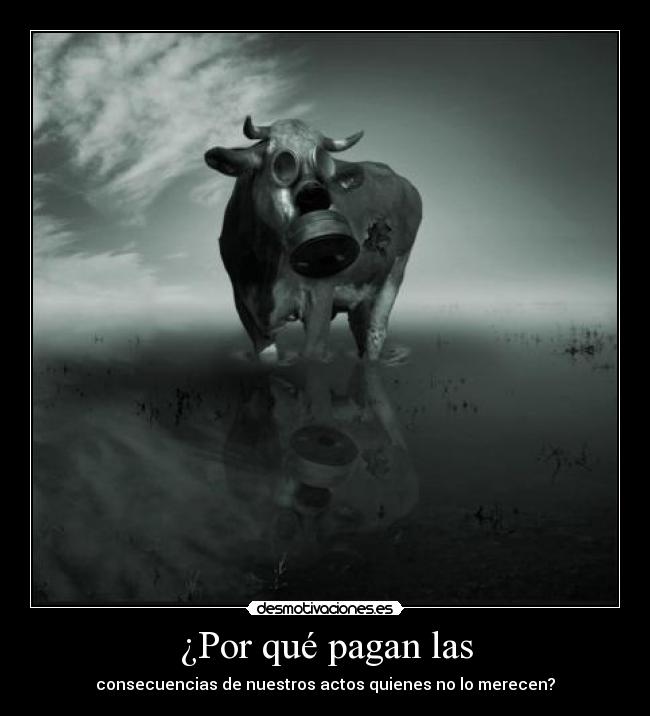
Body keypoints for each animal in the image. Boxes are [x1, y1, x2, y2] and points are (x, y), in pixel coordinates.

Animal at [204, 116, 422, 361]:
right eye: (282, 164)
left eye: (325, 170)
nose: (316, 193)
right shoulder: (243, 302)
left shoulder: (321, 295)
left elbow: (312, 353)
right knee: (359, 328)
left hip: (395, 272)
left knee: (376, 331)